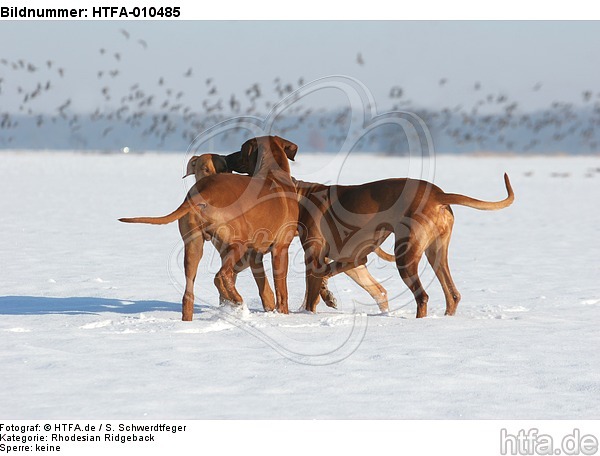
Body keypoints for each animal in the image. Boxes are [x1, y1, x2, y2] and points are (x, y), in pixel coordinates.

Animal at [119, 135, 300, 320]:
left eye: (241, 151)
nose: (229, 156)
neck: (273, 173)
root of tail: (204, 192)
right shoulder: (280, 249)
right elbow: (282, 291)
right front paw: (283, 314)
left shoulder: (254, 254)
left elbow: (263, 286)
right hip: (238, 243)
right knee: (221, 276)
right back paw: (237, 301)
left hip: (194, 246)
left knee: (189, 293)